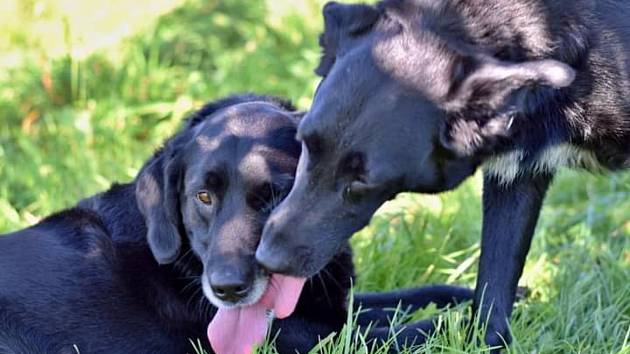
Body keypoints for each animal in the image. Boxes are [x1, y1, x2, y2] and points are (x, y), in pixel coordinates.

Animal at [0, 94, 474, 354]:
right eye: (203, 197)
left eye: (277, 195)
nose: (227, 289)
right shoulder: (312, 340)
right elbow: (412, 328)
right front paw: (472, 320)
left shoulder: (338, 305)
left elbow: (407, 297)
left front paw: (469, 294)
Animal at [256, 0, 630, 348]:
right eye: (305, 144)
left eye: (362, 181)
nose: (264, 260)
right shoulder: (516, 175)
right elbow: (493, 287)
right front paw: (484, 341)